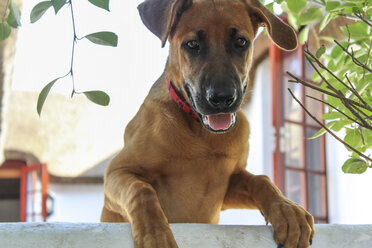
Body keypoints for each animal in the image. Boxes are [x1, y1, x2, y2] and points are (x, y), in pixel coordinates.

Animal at [101, 0, 314, 248]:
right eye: (192, 44)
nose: (222, 98)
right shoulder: (116, 171)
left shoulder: (226, 189)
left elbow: (262, 180)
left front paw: (288, 210)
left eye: (241, 42)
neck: (203, 135)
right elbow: (141, 189)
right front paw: (154, 233)